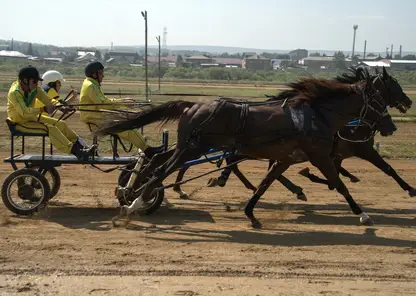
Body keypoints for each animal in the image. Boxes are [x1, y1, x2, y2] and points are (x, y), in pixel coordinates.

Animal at [96, 73, 388, 228]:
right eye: (379, 99)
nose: (389, 124)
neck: (314, 115)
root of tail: (193, 105)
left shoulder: (286, 158)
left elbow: (266, 183)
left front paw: (251, 212)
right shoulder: (319, 156)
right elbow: (339, 183)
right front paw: (362, 214)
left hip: (187, 146)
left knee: (157, 162)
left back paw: (133, 191)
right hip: (193, 147)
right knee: (160, 171)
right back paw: (137, 201)